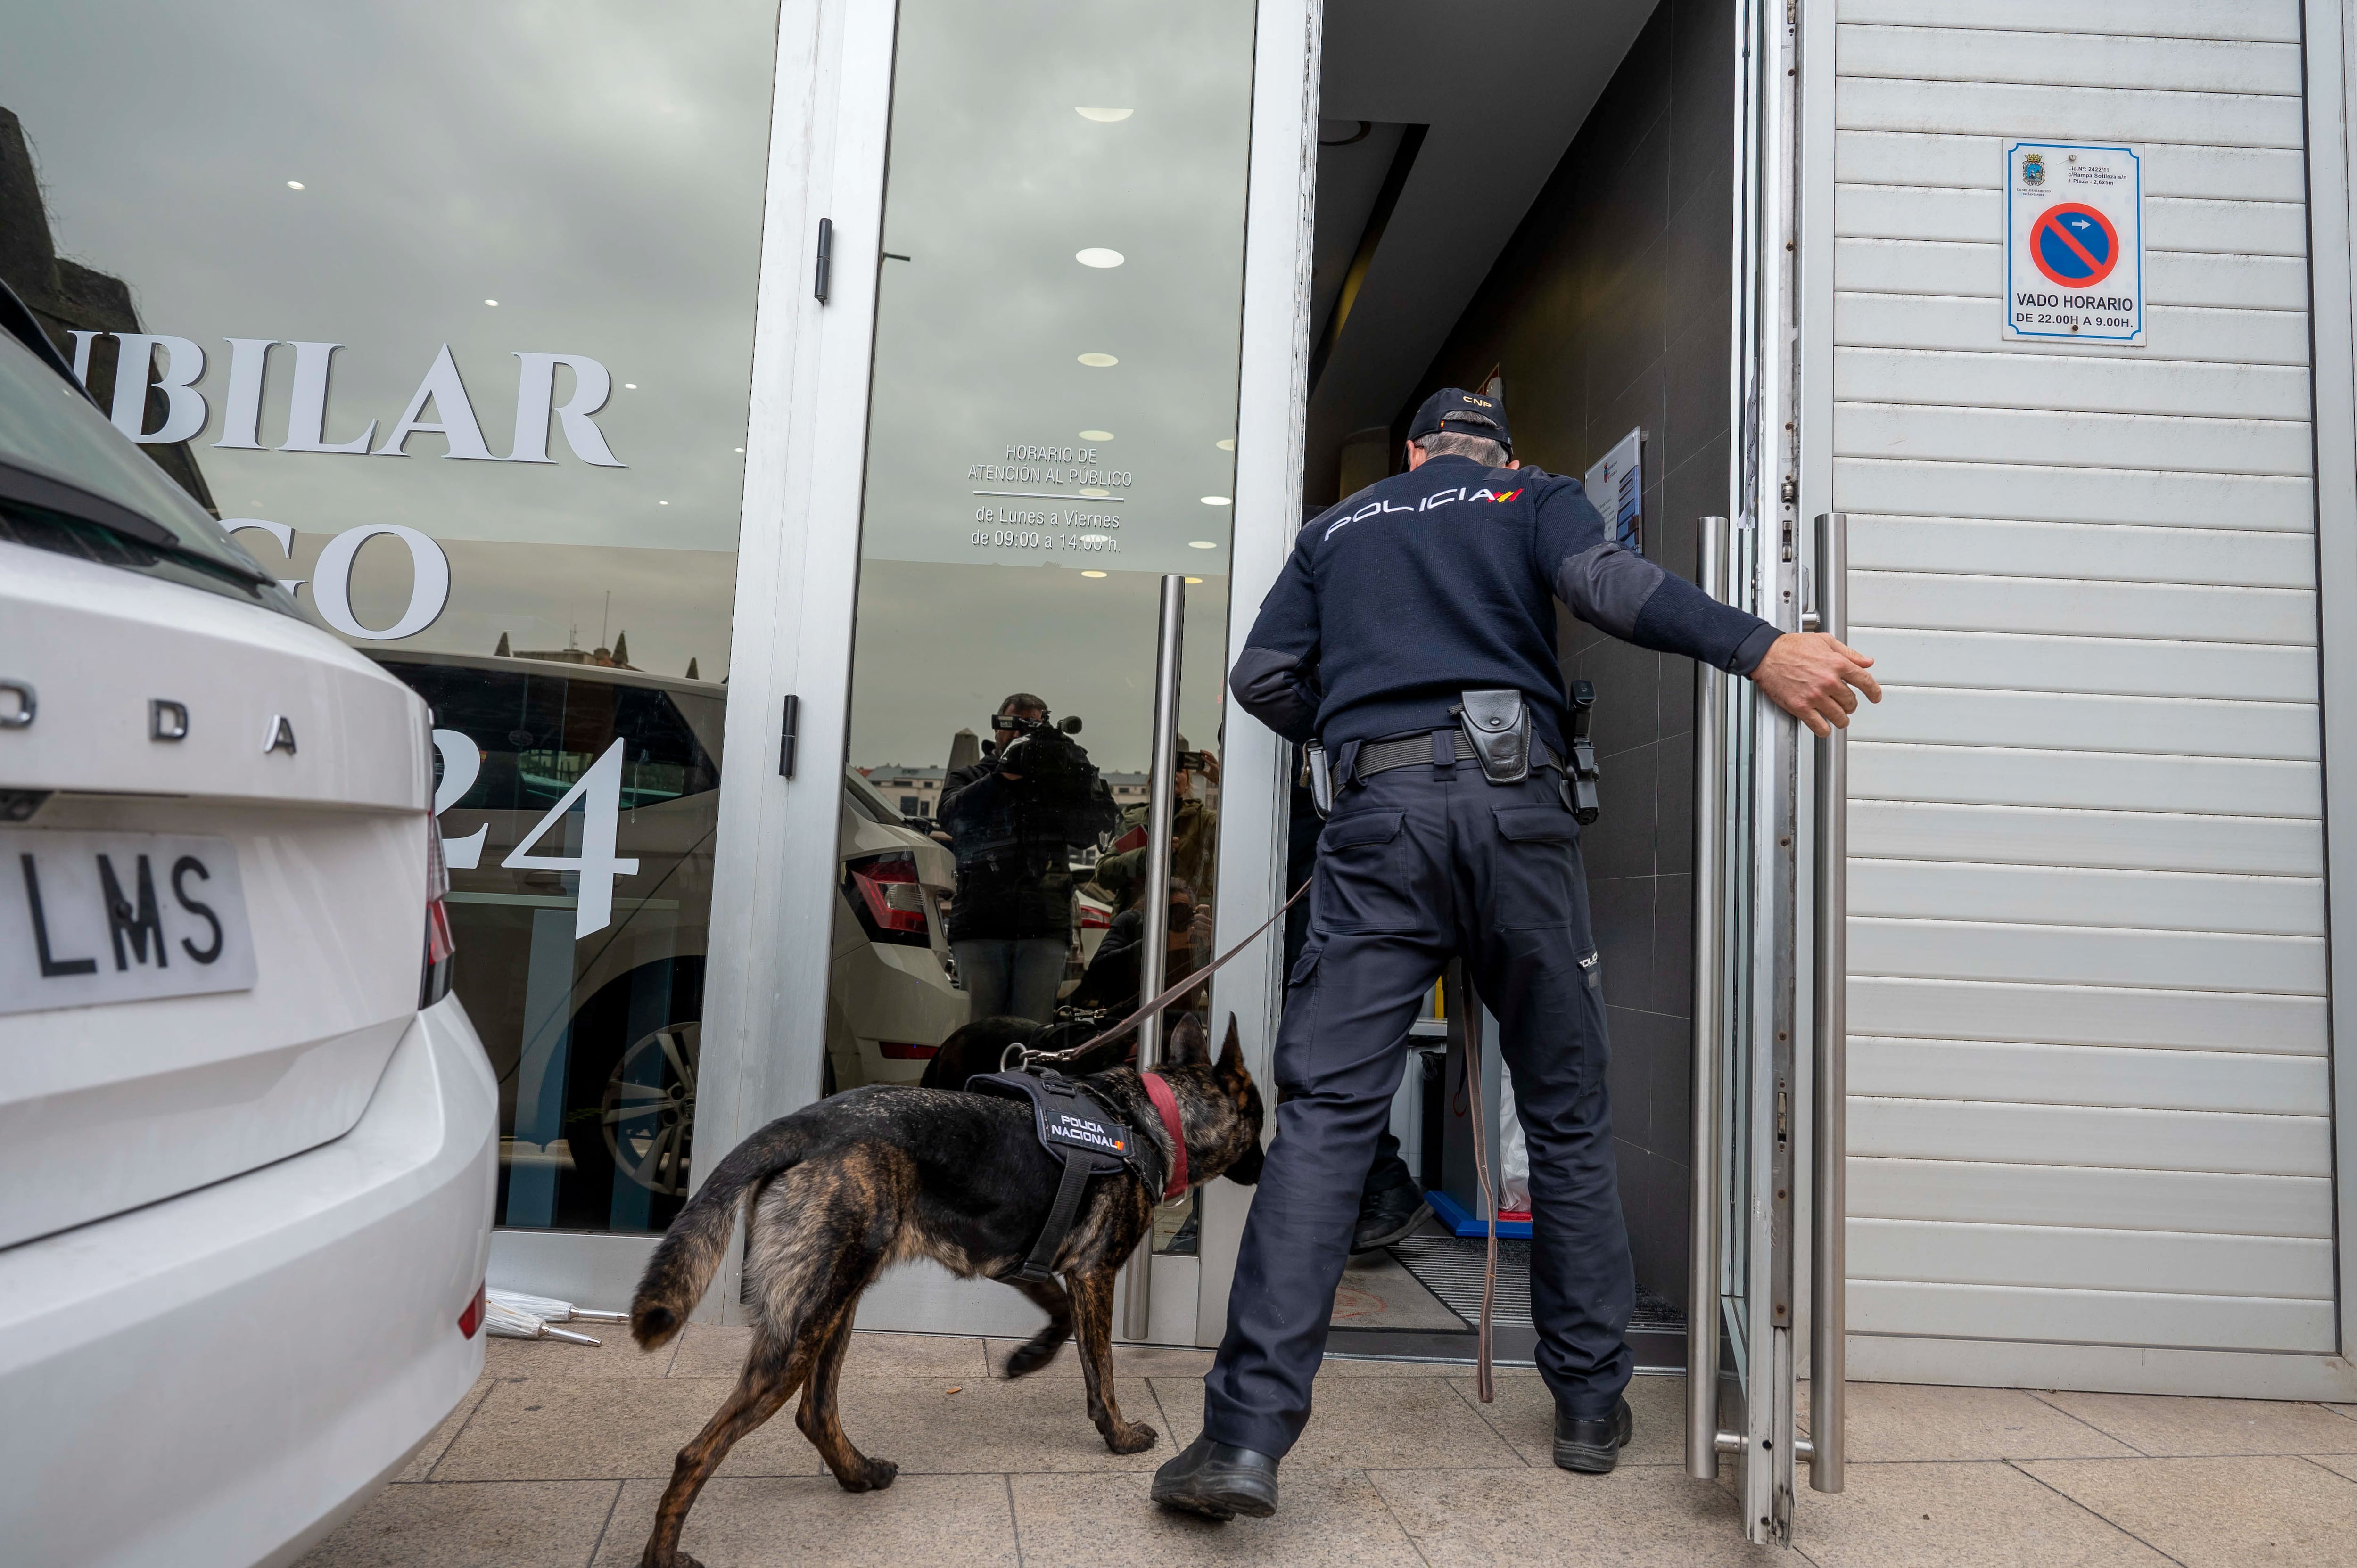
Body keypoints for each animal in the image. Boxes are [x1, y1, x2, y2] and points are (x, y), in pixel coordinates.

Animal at [618, 1009, 1263, 1556]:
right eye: (1258, 1119)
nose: (1264, 1166)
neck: (1150, 1120)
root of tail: (807, 1123)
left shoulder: (1021, 1261)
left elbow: (1055, 1312)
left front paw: (1028, 1358)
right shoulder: (1094, 1274)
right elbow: (1100, 1371)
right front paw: (1119, 1435)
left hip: (834, 1305)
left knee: (815, 1412)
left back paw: (859, 1474)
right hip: (802, 1328)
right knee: (697, 1453)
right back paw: (664, 1555)